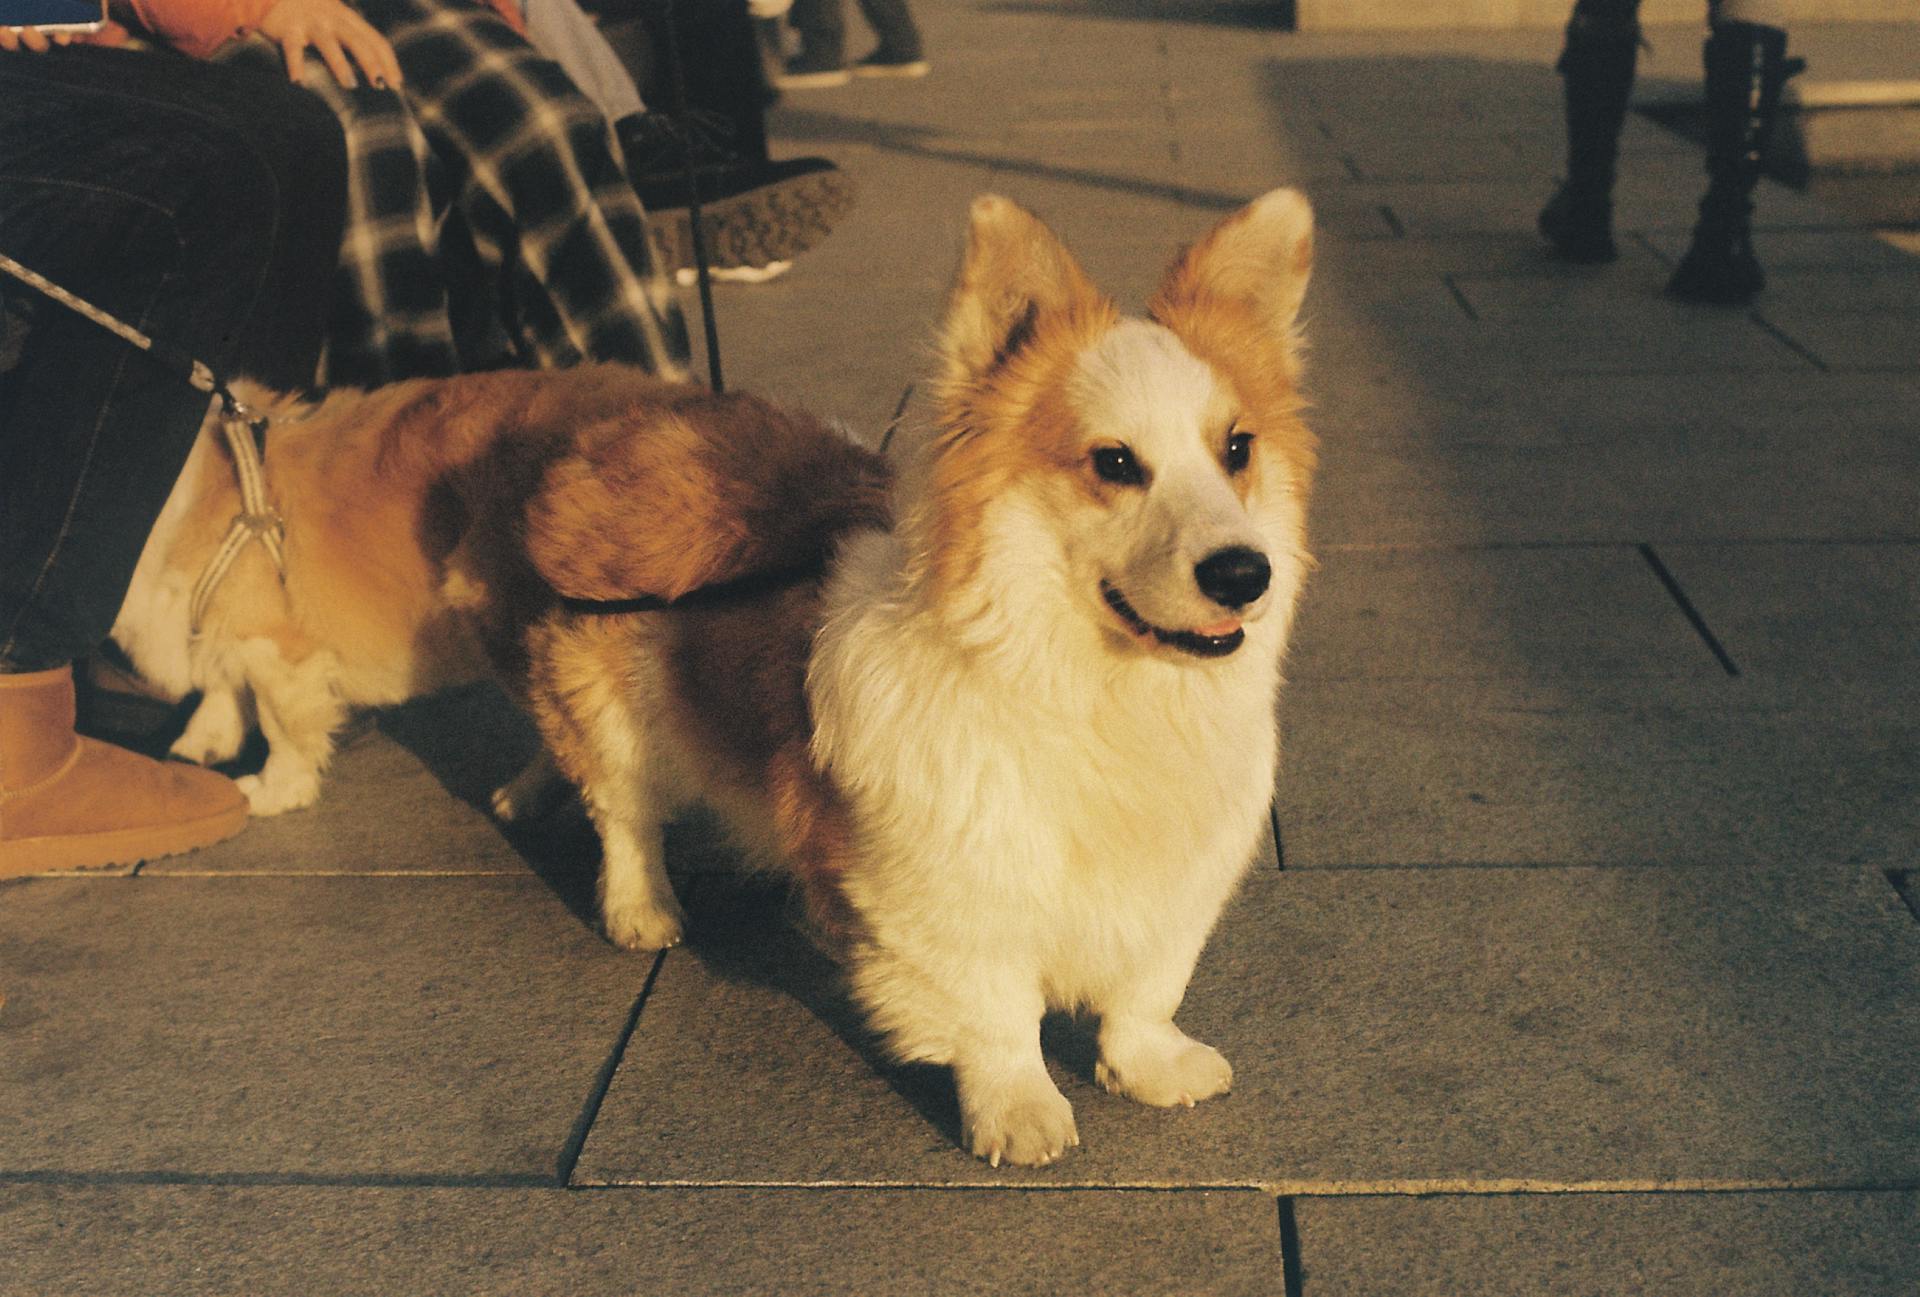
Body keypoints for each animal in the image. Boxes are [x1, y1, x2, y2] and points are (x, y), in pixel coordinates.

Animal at [510, 187, 1320, 1166]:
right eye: (1116, 462)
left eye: (1237, 448)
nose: (1245, 573)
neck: (1097, 693)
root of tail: (634, 418)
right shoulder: (953, 897)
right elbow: (998, 1015)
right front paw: (1019, 1112)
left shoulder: (1174, 893)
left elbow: (1146, 989)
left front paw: (1150, 1067)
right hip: (614, 713)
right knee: (624, 815)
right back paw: (643, 910)